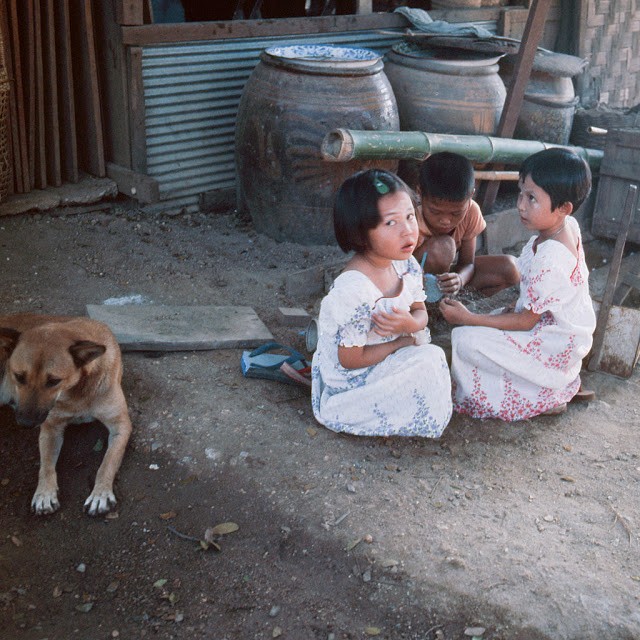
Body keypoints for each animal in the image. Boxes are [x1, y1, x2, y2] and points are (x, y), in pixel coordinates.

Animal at [0, 312, 132, 516]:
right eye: (19, 376)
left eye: (54, 381)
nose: (25, 423)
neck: (75, 392)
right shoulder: (50, 429)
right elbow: (45, 466)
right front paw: (44, 493)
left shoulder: (121, 425)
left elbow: (107, 463)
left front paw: (100, 493)